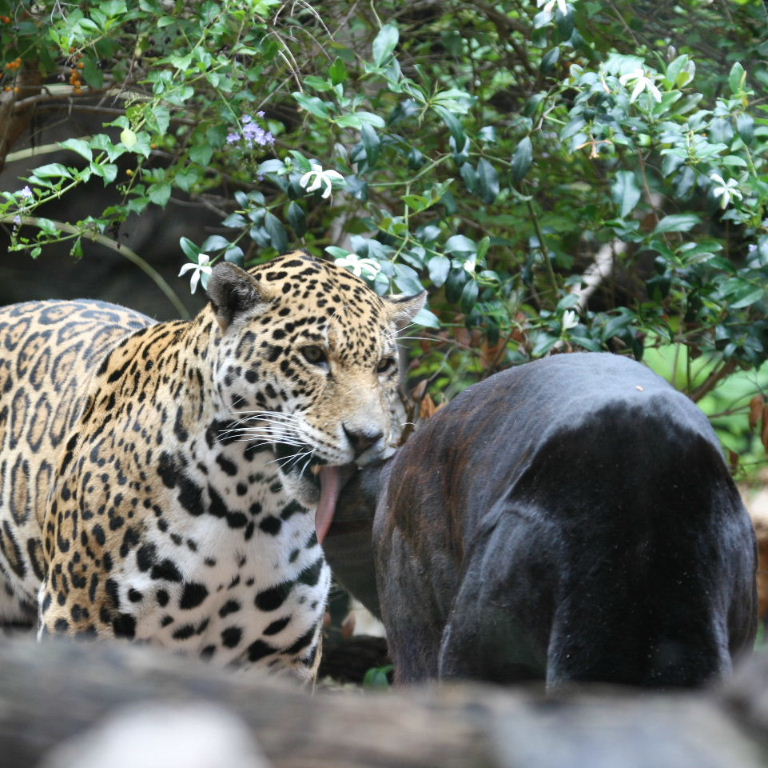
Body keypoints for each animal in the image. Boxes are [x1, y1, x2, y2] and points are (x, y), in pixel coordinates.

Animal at [0, 251, 424, 681]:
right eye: (313, 355)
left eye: (384, 365)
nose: (368, 437)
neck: (246, 510)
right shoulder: (79, 615)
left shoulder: (285, 653)